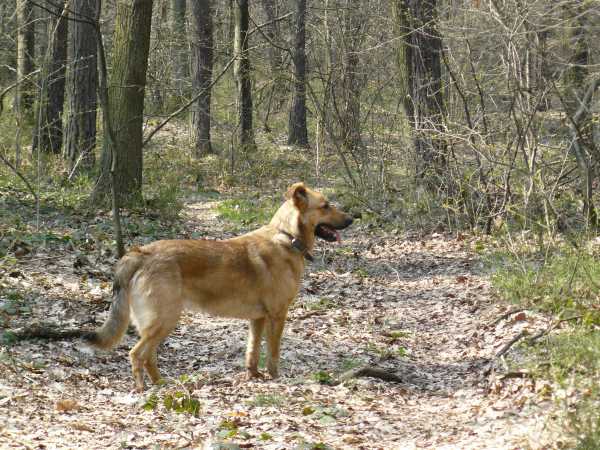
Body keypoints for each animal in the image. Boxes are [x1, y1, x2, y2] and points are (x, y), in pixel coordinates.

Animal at [84, 182, 353, 391]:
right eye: (326, 205)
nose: (352, 219)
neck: (287, 237)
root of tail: (140, 253)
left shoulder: (258, 319)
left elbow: (252, 351)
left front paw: (253, 377)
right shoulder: (278, 315)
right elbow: (273, 354)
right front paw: (275, 379)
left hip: (156, 323)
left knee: (148, 356)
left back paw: (161, 385)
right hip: (164, 319)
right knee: (136, 355)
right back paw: (143, 390)